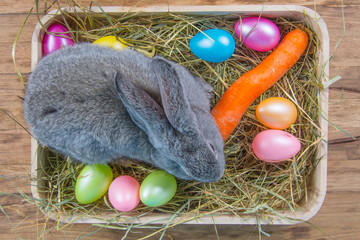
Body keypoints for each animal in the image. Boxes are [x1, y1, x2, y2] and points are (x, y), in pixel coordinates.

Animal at [23, 43, 225, 182]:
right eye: (177, 165)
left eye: (211, 147)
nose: (215, 175)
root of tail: (29, 103)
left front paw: (208, 91)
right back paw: (125, 161)